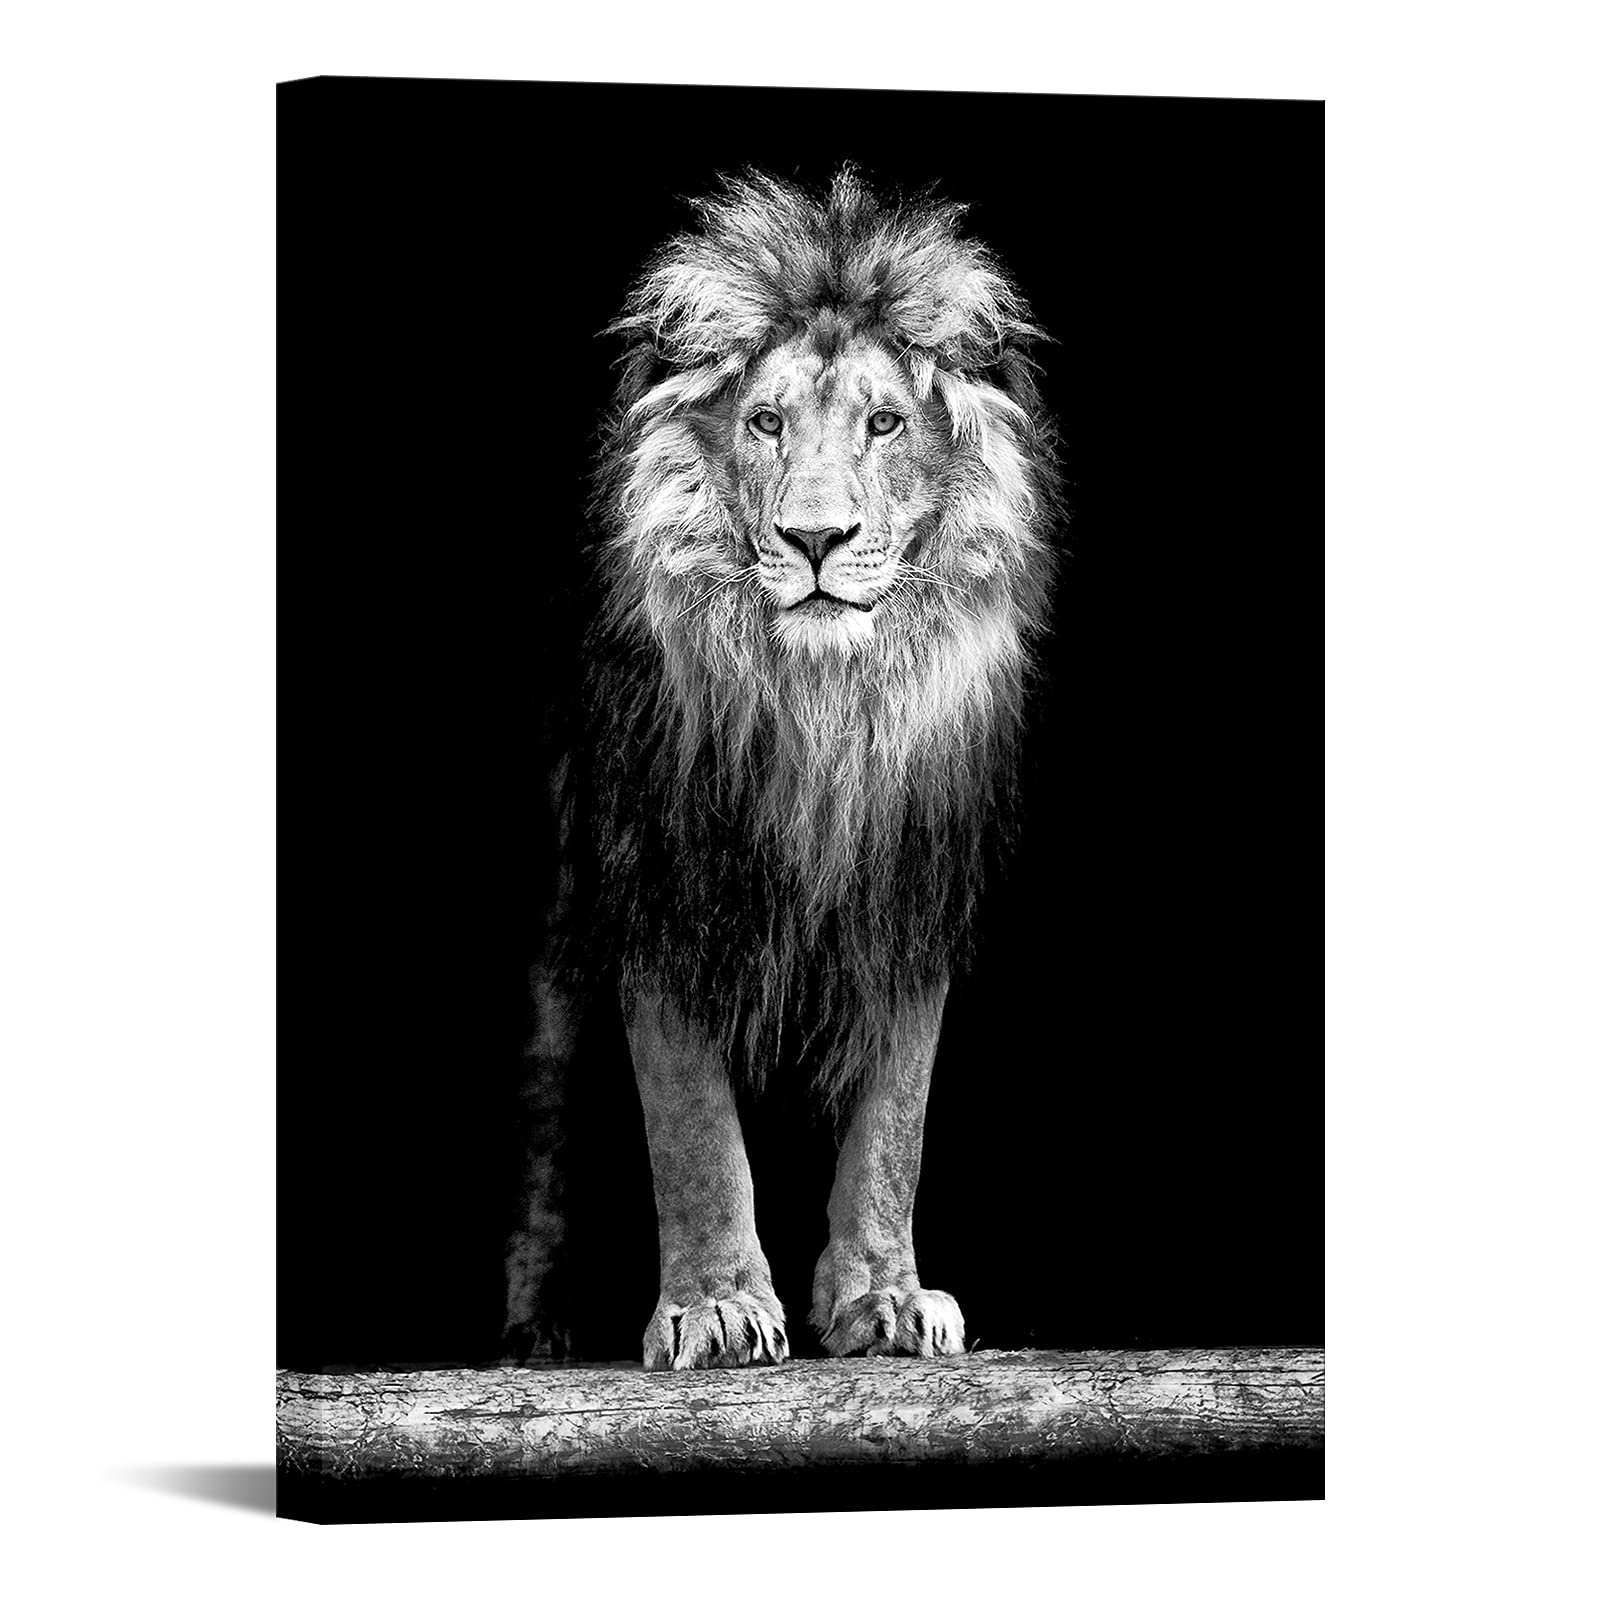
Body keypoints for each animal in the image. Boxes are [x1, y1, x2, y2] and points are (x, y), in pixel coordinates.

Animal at [507, 167, 1061, 1371]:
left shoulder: (908, 894)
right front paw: (715, 1307)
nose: (816, 538)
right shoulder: (663, 883)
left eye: (885, 423)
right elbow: (694, 1130)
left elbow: (895, 1126)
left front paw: (886, 1299)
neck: (822, 711)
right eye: (765, 423)